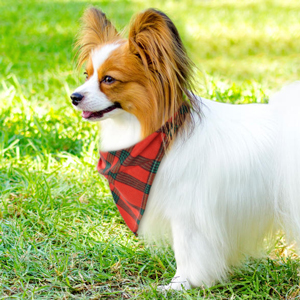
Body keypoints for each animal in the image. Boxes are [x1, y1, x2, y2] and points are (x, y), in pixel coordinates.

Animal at [71, 7, 300, 290]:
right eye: (87, 75)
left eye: (109, 79)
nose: (74, 97)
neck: (162, 138)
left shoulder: (188, 214)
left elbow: (186, 252)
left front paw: (179, 285)